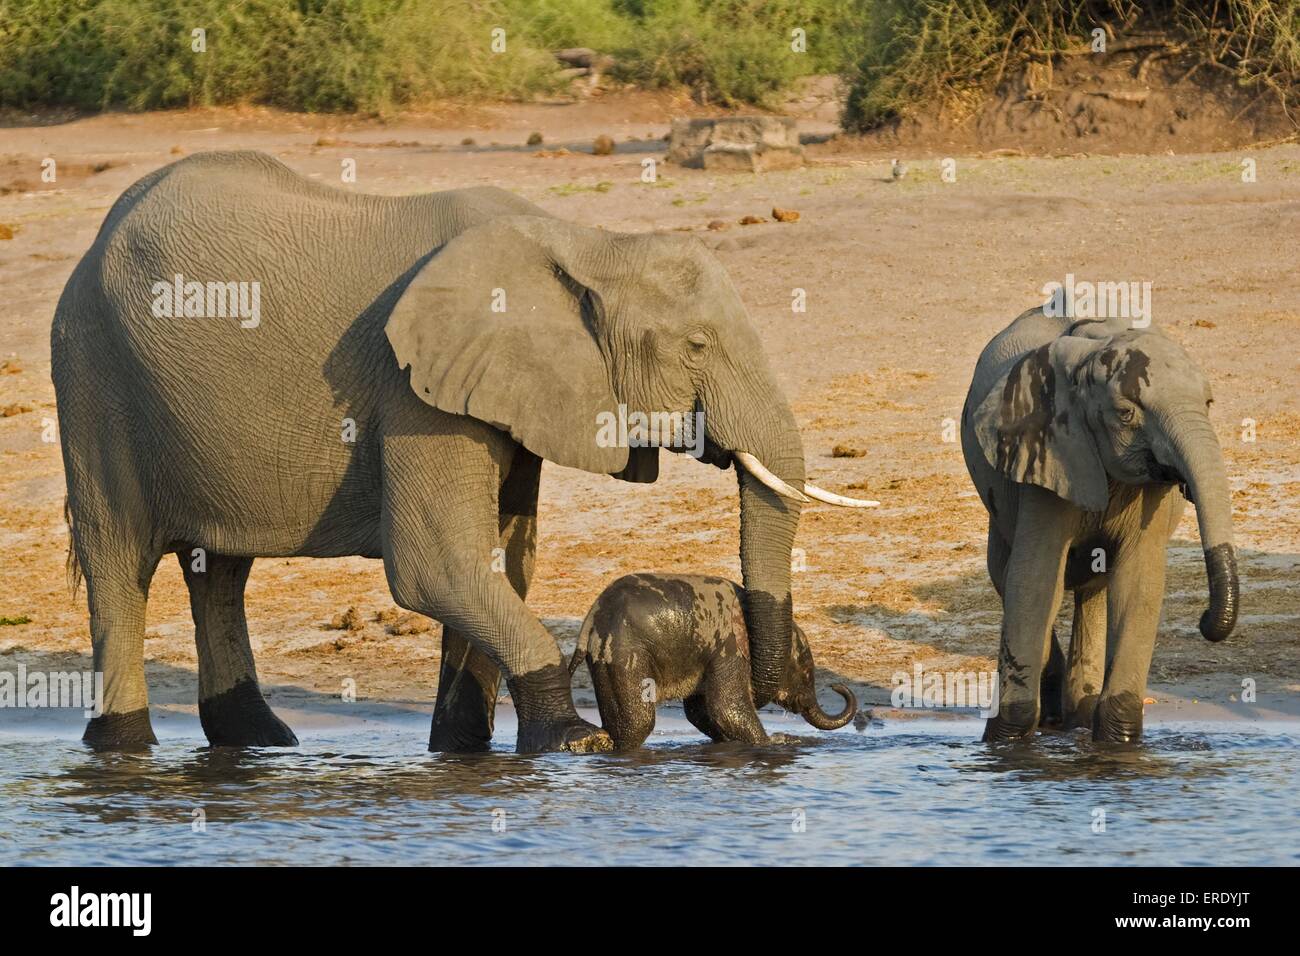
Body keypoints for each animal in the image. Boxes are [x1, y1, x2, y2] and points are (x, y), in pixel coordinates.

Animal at [566, 572, 852, 749]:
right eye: (805, 670)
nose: (836, 687)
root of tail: (590, 621)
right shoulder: (729, 647)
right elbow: (726, 707)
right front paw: (775, 743)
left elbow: (700, 711)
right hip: (625, 652)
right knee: (638, 722)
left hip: (605, 658)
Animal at [967, 306, 1237, 738]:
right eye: (1126, 414)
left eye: (1209, 404)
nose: (1205, 620)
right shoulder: (1048, 453)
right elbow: (1034, 580)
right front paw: (1008, 742)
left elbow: (1138, 581)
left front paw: (1118, 741)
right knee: (1008, 574)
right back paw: (1055, 714)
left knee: (1095, 585)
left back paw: (1079, 711)